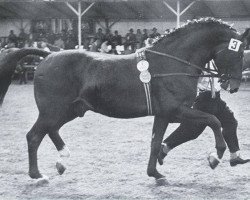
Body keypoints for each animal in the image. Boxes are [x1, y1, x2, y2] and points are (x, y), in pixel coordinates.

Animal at [26, 18, 247, 182]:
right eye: (236, 53)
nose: (234, 86)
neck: (171, 64)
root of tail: (47, 56)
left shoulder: (164, 115)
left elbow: (156, 143)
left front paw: (155, 173)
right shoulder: (175, 110)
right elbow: (213, 120)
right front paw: (215, 156)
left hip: (70, 110)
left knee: (50, 130)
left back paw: (62, 161)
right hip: (54, 111)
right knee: (34, 136)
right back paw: (38, 175)